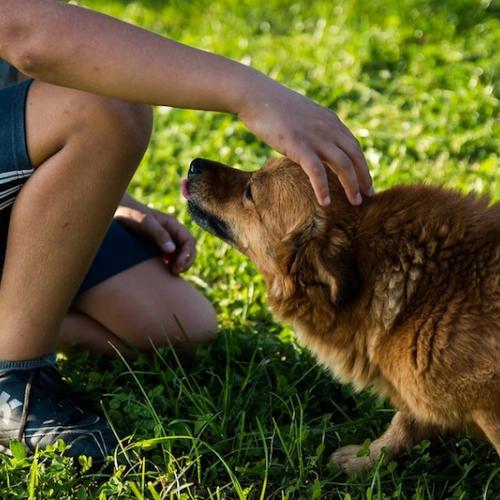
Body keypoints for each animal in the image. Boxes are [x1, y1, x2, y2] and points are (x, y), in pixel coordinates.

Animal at [184, 156, 500, 472]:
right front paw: (369, 458)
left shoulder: (488, 408)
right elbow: (405, 421)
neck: (421, 290)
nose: (195, 164)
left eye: (250, 191)